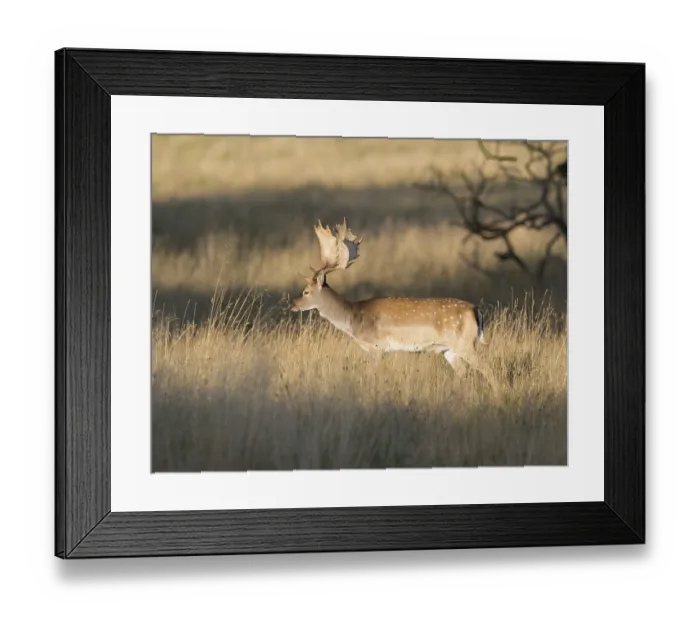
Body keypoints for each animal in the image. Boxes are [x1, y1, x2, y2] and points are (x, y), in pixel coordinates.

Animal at [289, 219, 500, 394]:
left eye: (306, 291)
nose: (293, 305)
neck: (353, 317)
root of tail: (475, 310)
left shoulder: (376, 347)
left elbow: (371, 375)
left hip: (465, 344)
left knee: (488, 369)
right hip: (449, 349)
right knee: (462, 372)